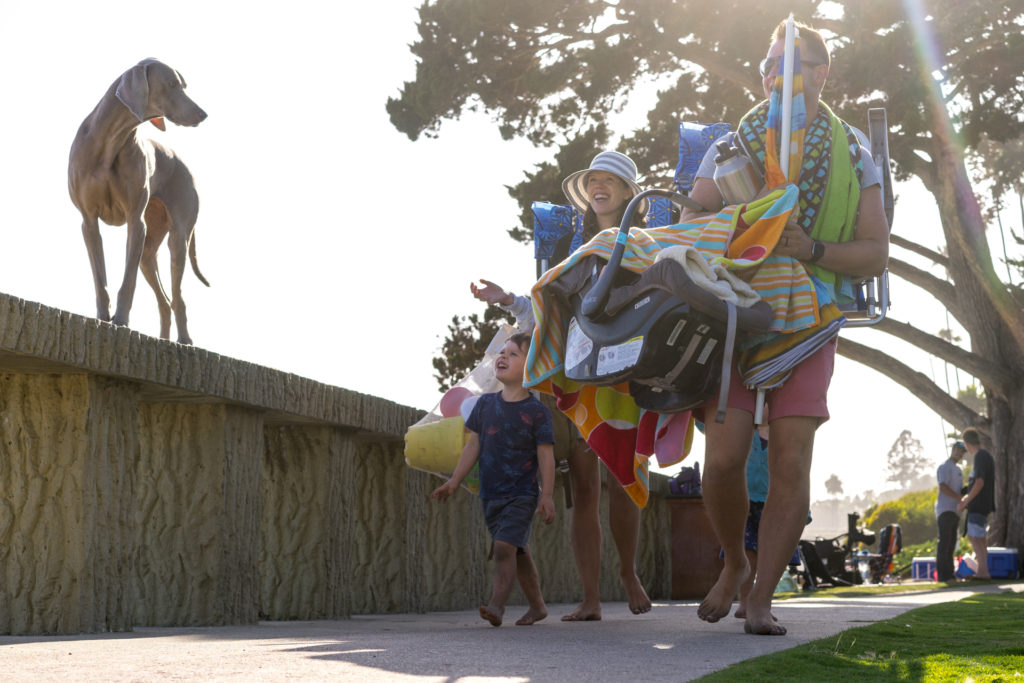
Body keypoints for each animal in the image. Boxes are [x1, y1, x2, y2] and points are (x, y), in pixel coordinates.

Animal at [68, 57, 207, 348]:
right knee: (165, 302)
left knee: (178, 298)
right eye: (172, 84)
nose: (203, 114)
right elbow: (100, 278)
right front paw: (103, 317)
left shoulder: (136, 221)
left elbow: (127, 280)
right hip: (148, 253)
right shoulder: (88, 220)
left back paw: (183, 340)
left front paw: (121, 320)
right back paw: (164, 338)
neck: (109, 140)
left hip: (177, 238)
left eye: (183, 85)